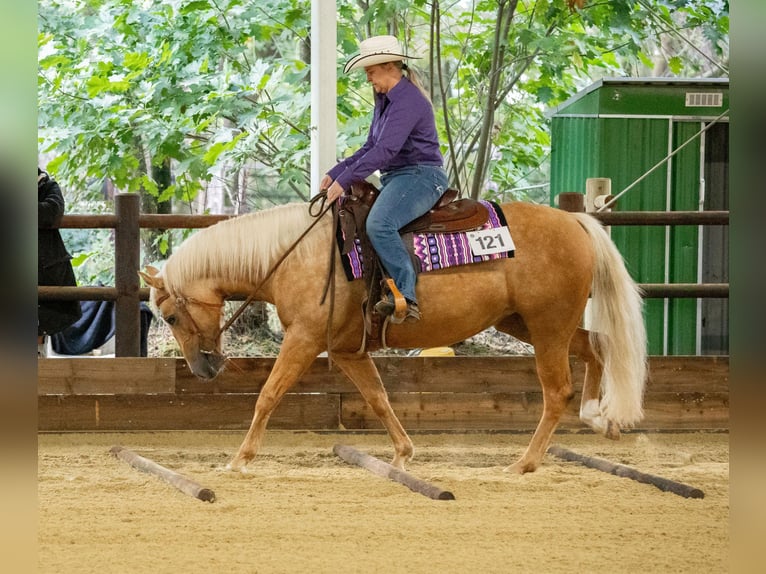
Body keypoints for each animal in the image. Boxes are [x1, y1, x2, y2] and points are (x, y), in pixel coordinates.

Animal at [139, 199, 647, 474]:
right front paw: (403, 453)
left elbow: (268, 394)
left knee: (557, 390)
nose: (203, 368)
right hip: (528, 324)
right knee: (596, 346)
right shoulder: (347, 350)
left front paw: (241, 458)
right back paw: (599, 417)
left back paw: (525, 462)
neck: (292, 255)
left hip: (546, 327)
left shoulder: (303, 339)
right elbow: (378, 398)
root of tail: (575, 221)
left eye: (170, 316)